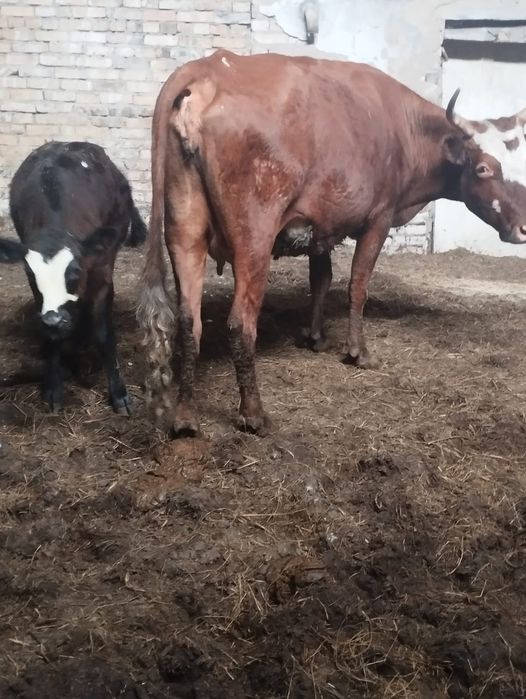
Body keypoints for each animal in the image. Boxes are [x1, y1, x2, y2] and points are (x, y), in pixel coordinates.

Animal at [0, 141, 147, 413]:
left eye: (75, 271)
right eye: (30, 273)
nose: (54, 319)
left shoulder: (101, 271)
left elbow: (104, 333)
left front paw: (119, 394)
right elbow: (52, 339)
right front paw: (53, 386)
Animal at [138, 49, 526, 436]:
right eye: (483, 168)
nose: (523, 228)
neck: (403, 128)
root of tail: (208, 68)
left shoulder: (319, 224)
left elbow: (320, 279)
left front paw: (314, 337)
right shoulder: (379, 218)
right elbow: (357, 285)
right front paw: (357, 352)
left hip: (185, 233)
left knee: (189, 323)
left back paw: (186, 417)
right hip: (254, 237)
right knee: (239, 324)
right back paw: (253, 413)